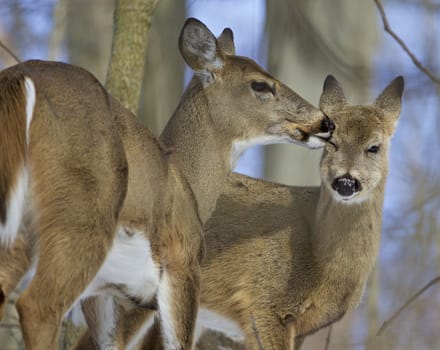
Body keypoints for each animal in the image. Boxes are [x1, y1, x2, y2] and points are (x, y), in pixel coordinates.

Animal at [0, 17, 332, 348]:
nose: (325, 122)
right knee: (37, 306)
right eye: (260, 85)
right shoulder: (182, 262)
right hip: (82, 215)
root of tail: (21, 80)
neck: (188, 182)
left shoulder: (104, 292)